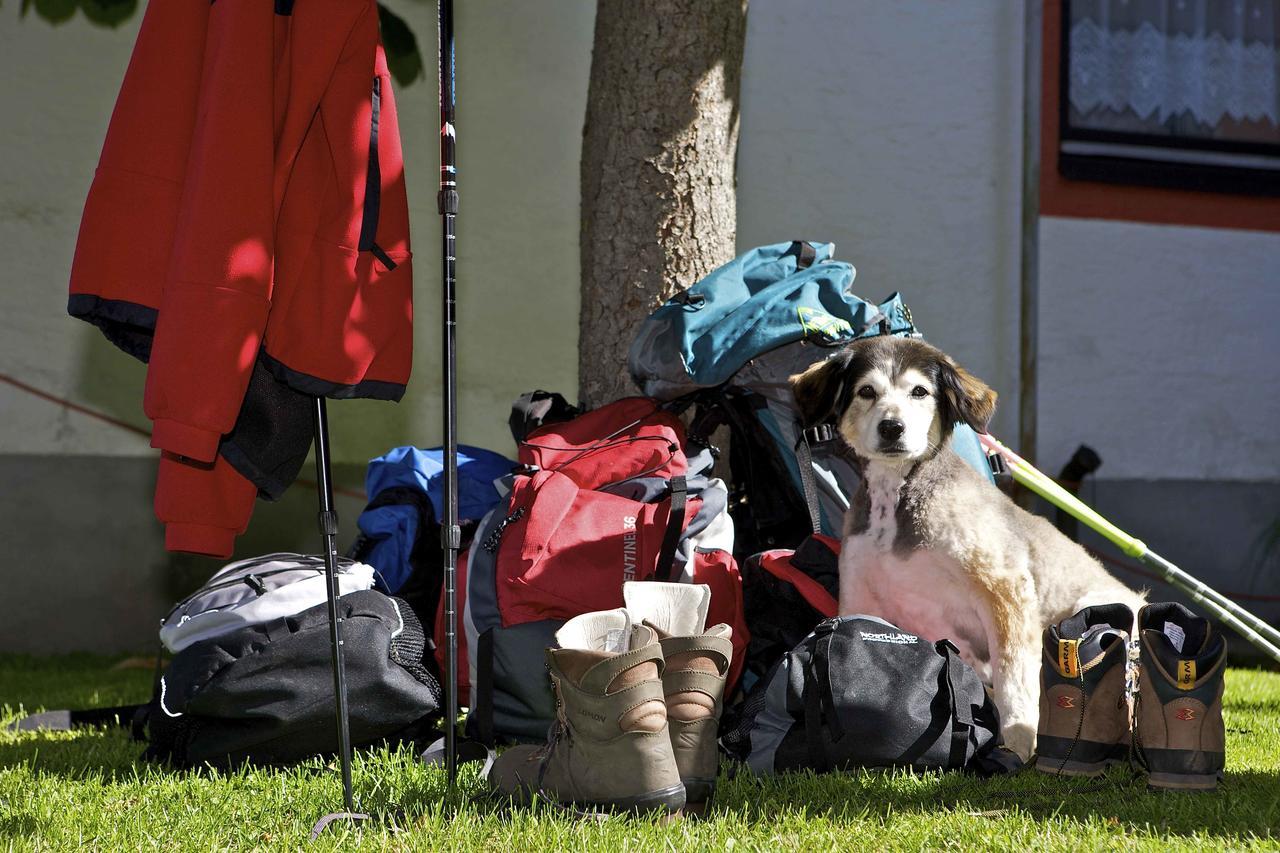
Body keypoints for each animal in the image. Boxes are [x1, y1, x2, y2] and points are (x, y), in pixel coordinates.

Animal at [788, 333, 1141, 758]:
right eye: (866, 391)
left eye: (919, 392)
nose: (892, 427)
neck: (898, 501)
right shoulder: (859, 595)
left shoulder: (1005, 588)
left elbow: (1014, 680)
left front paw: (1019, 742)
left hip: (1095, 610)